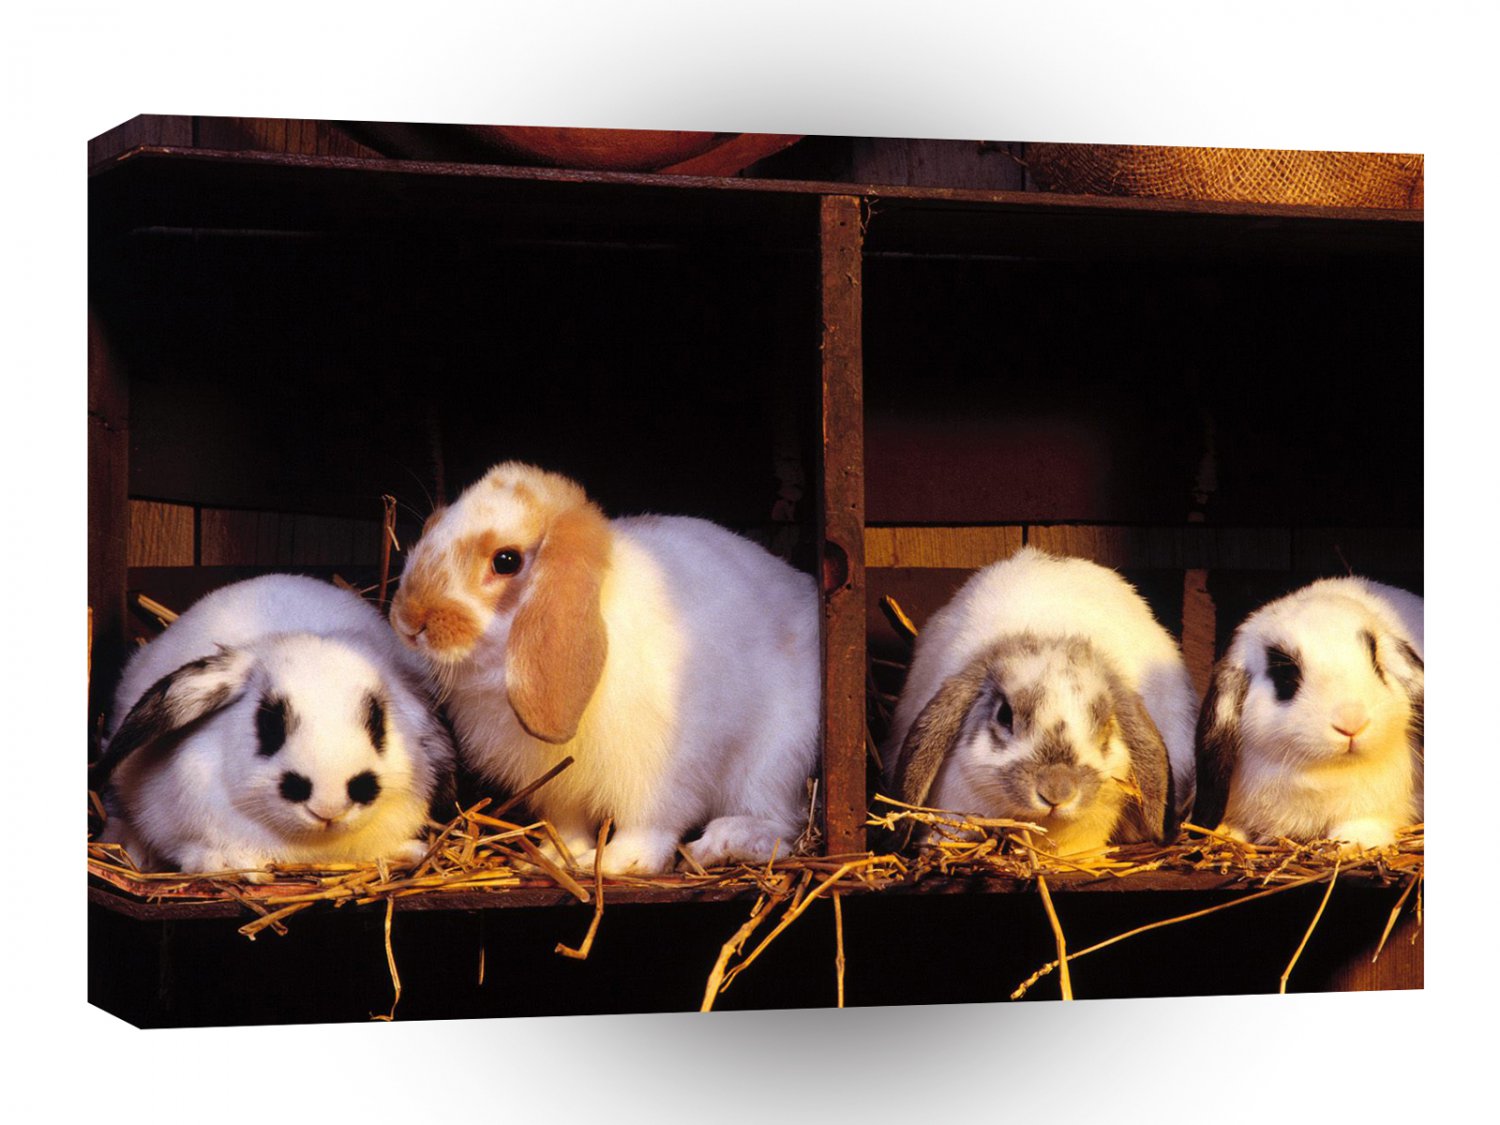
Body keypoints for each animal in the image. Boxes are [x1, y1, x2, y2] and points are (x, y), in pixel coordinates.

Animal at [387, 462, 821, 876]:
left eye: (506, 561)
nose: (409, 620)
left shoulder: (661, 776)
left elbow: (648, 827)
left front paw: (617, 862)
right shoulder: (559, 791)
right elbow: (569, 828)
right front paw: (555, 857)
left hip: (775, 761)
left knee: (777, 825)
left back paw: (718, 845)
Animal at [1193, 576, 1423, 851]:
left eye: (1377, 664)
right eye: (1285, 674)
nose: (1351, 722)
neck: (1326, 772)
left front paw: (1354, 843)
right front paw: (1225, 833)